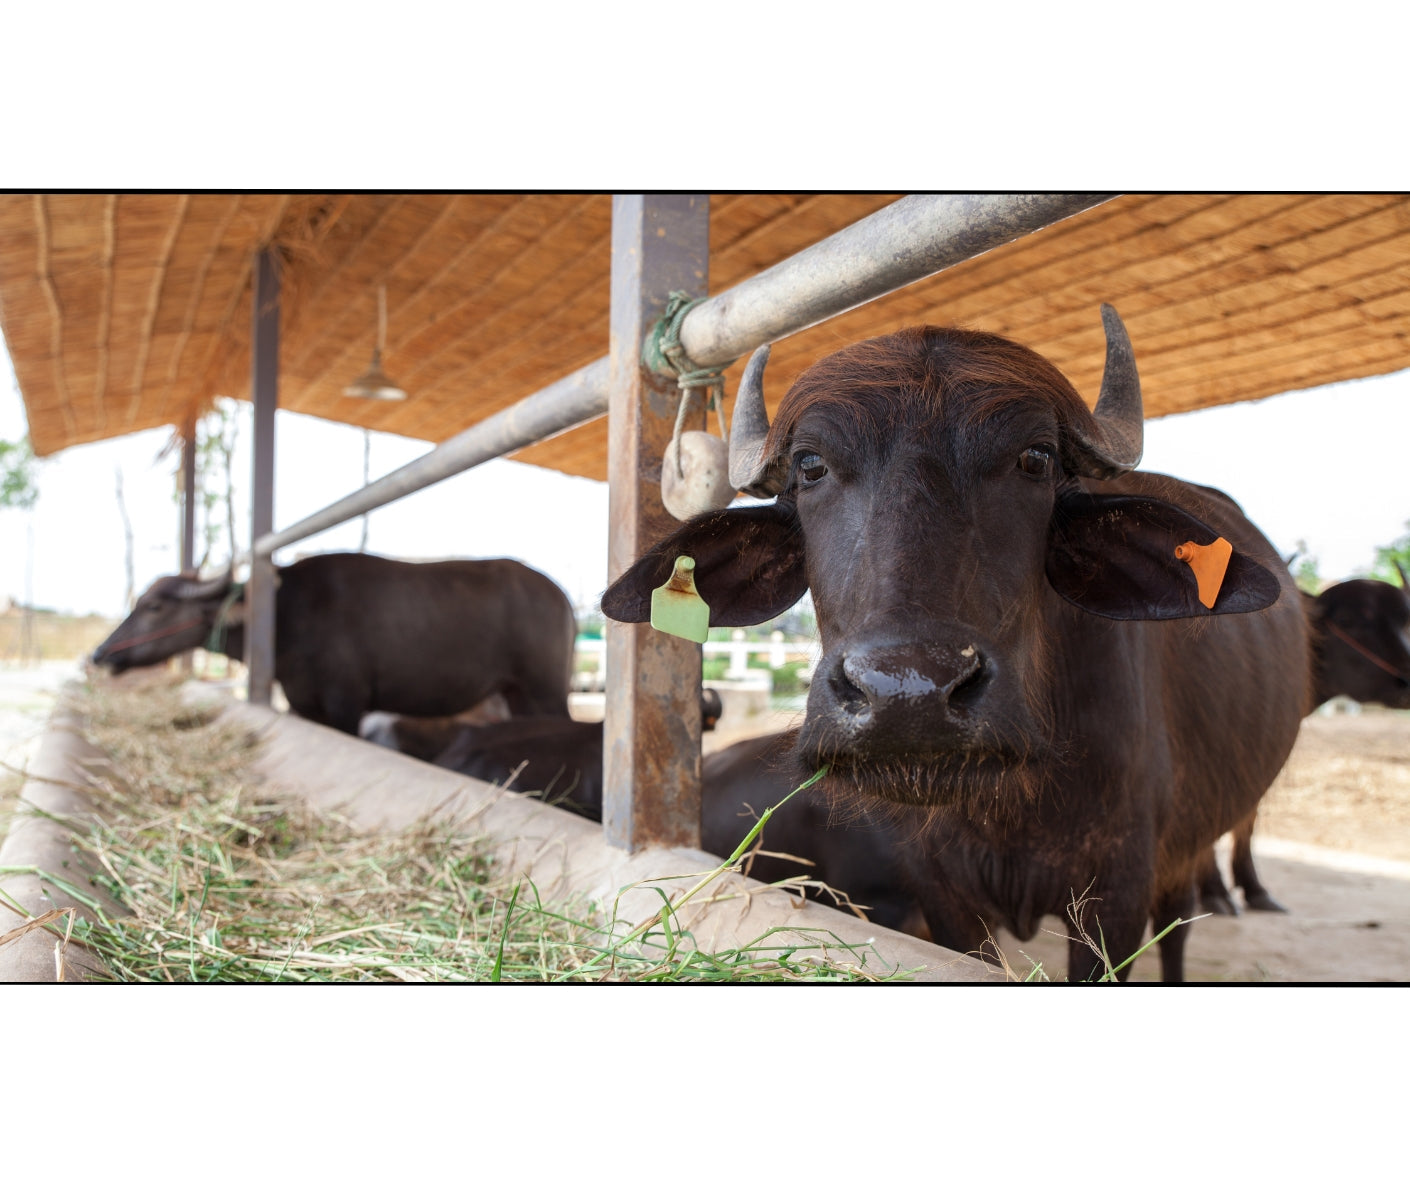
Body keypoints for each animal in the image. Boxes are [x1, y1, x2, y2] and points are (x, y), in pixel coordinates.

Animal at [92, 552, 577, 734]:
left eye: (153, 605)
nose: (100, 653)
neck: (288, 615)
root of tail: (561, 596)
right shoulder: (303, 702)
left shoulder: (347, 702)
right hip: (516, 692)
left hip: (545, 689)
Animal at [602, 306, 1309, 982]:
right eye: (811, 466)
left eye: (1036, 459)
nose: (907, 694)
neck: (1008, 806)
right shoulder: (943, 894)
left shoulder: (1118, 893)